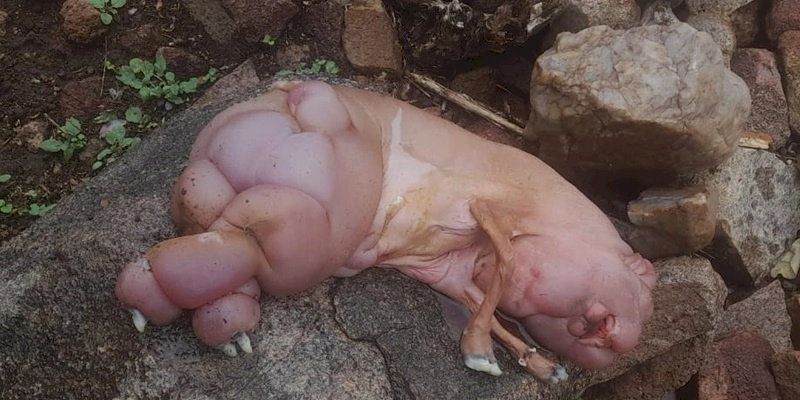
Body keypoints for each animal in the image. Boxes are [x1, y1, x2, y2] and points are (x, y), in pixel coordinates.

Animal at [115, 80, 657, 384]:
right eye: (644, 291)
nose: (614, 340)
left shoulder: (451, 273)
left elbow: (490, 307)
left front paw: (544, 366)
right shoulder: (491, 209)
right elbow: (501, 265)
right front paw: (480, 357)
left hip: (214, 187)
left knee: (221, 233)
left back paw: (209, 321)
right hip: (324, 189)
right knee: (264, 239)